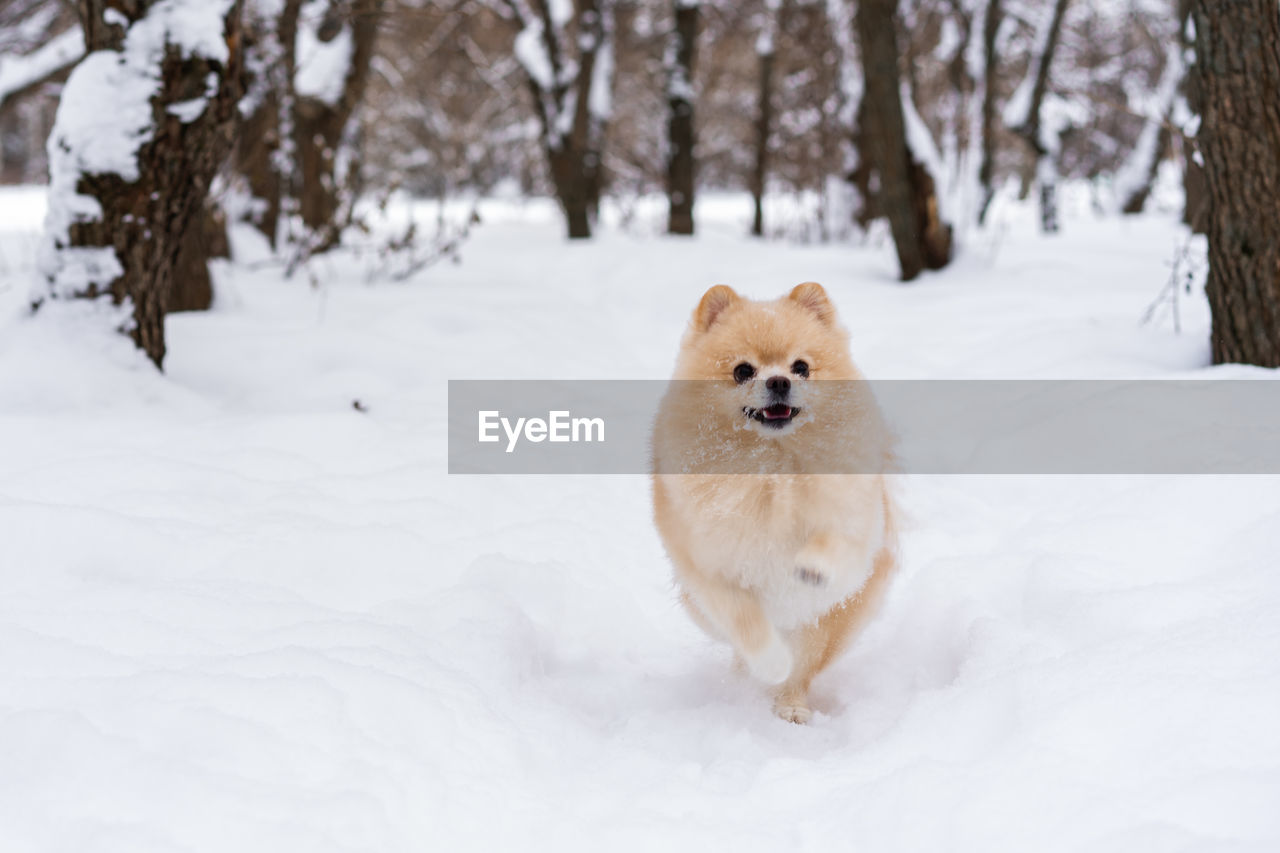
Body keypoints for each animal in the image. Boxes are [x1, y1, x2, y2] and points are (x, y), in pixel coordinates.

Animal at [650, 281, 901, 722]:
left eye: (801, 366)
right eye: (742, 371)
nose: (780, 381)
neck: (774, 467)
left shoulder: (858, 525)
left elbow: (837, 541)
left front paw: (814, 566)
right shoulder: (711, 569)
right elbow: (746, 622)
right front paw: (770, 663)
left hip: (830, 619)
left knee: (807, 664)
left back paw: (791, 706)